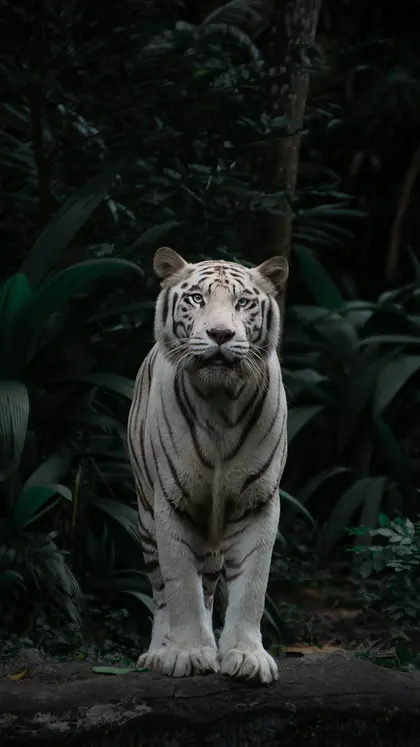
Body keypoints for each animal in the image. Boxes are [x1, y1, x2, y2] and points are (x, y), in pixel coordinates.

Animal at [127, 246, 288, 683]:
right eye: (197, 298)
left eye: (243, 302)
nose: (220, 335)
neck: (220, 402)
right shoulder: (171, 502)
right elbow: (181, 586)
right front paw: (187, 653)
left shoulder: (257, 502)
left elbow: (252, 586)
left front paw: (246, 656)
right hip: (145, 516)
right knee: (161, 591)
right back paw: (158, 652)